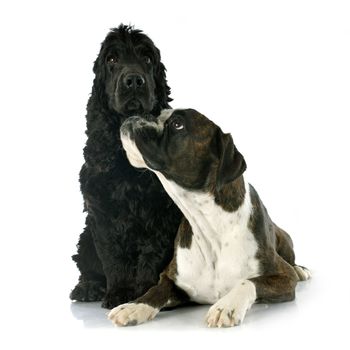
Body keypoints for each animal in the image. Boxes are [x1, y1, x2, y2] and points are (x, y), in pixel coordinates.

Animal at [69, 25, 182, 308]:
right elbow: (113, 255)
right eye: (112, 59)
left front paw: (143, 294)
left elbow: (151, 253)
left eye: (147, 58)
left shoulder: (161, 211)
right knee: (87, 265)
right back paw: (87, 288)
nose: (133, 81)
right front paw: (119, 292)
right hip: (85, 238)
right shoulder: (102, 210)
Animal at [108, 108, 310, 326]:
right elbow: (156, 289)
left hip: (285, 240)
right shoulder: (170, 278)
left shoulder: (284, 276)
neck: (210, 226)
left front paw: (227, 306)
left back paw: (301, 269)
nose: (143, 114)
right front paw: (135, 306)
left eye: (177, 124)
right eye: (160, 114)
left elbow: (249, 281)